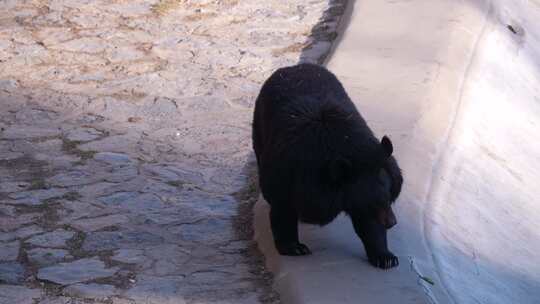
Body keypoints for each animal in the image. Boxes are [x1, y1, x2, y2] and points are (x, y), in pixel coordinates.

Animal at [252, 62, 400, 268]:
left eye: (388, 196)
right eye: (374, 201)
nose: (391, 222)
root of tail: (293, 66)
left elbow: (369, 225)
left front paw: (386, 258)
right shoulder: (289, 170)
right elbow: (283, 205)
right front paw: (295, 248)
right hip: (260, 129)